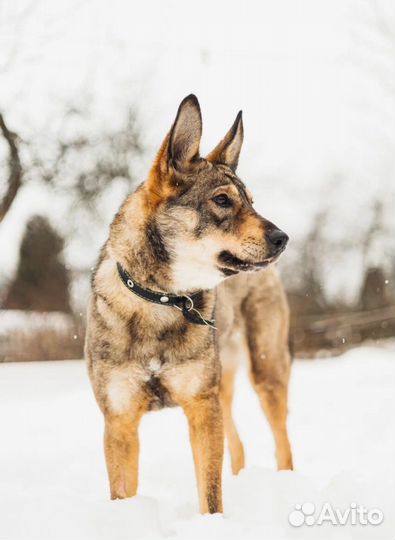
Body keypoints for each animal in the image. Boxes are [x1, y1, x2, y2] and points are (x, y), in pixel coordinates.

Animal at [85, 94, 292, 516]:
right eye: (222, 200)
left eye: (252, 202)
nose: (283, 238)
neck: (161, 300)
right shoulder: (119, 420)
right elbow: (123, 492)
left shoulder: (200, 405)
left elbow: (210, 495)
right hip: (222, 385)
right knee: (238, 445)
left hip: (264, 369)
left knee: (282, 441)